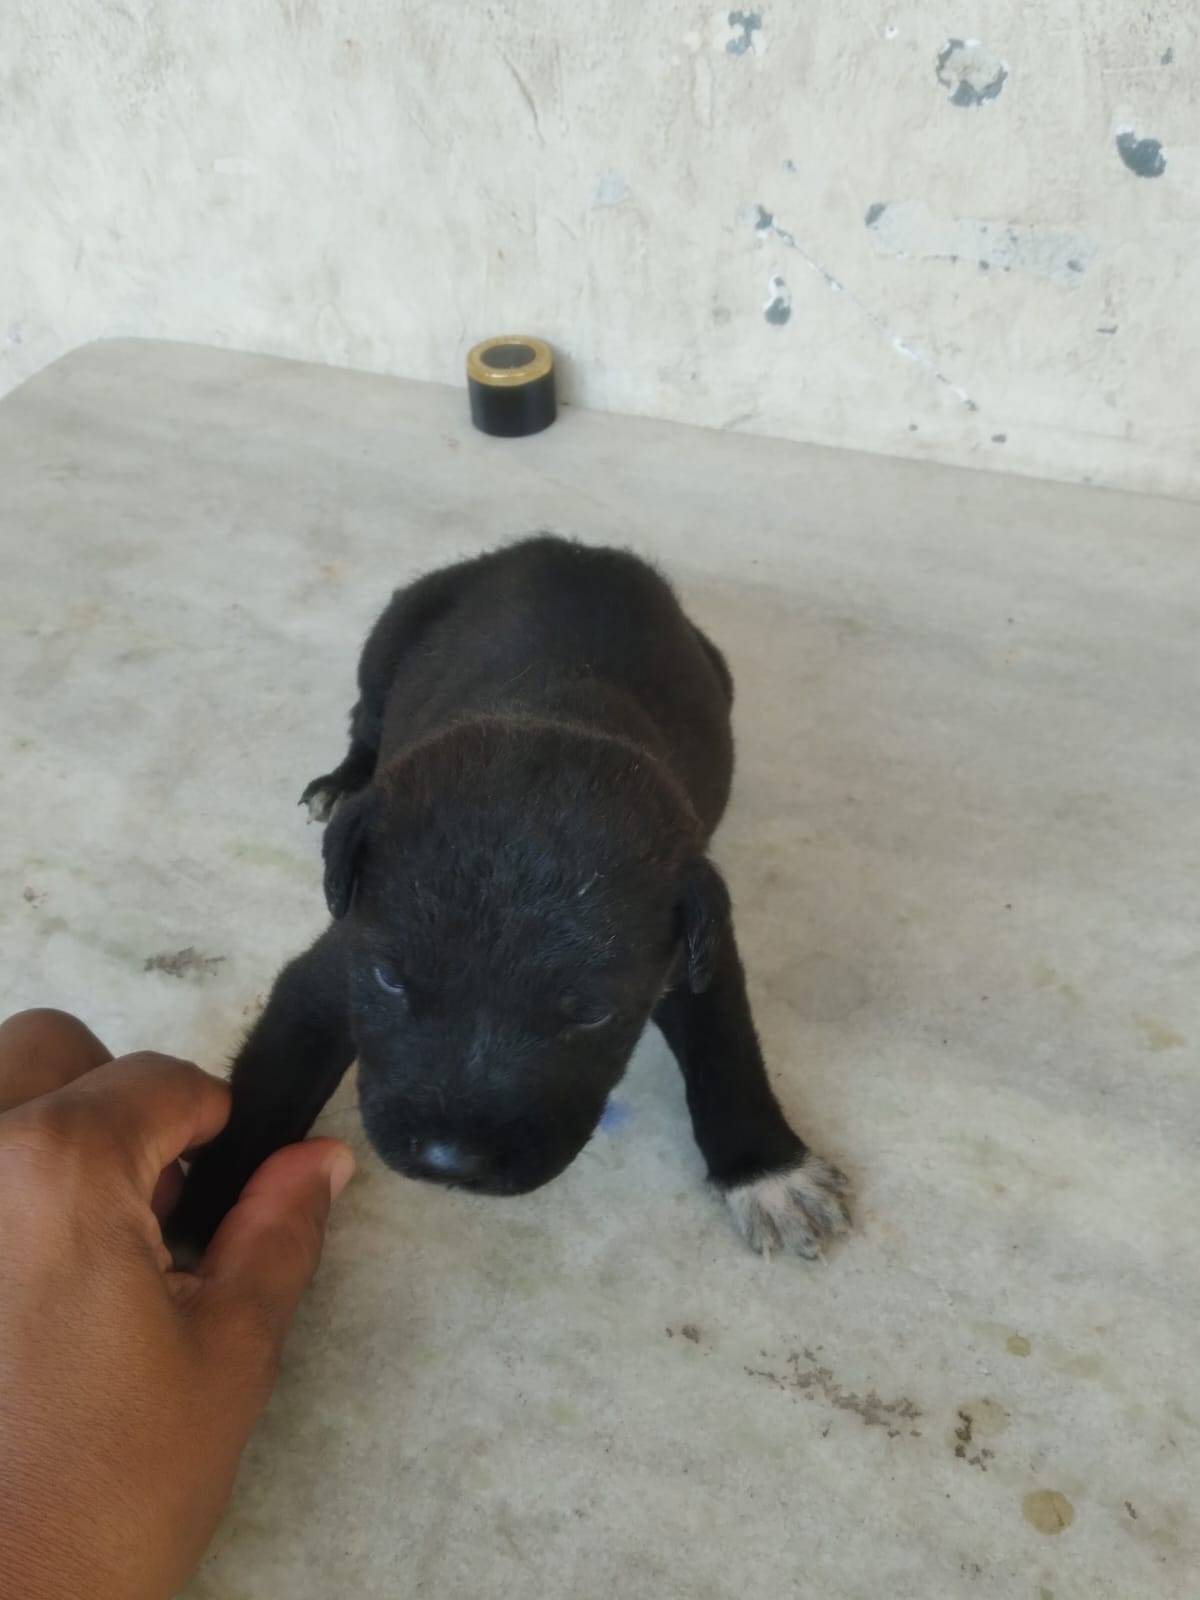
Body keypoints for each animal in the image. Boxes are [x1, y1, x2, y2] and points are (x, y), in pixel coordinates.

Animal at [169, 536, 849, 1259]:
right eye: (388, 980)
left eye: (592, 1016)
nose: (450, 1162)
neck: (553, 716)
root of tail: (570, 547)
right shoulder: (329, 971)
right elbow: (268, 1092)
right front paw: (198, 1228)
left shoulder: (695, 950)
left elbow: (726, 1049)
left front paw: (771, 1172)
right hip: (388, 640)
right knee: (365, 718)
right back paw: (343, 781)